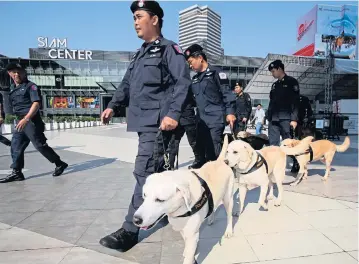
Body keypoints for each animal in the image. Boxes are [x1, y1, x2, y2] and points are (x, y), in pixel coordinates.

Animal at [134, 135, 235, 264]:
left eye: (160, 200)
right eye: (144, 196)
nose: (136, 220)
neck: (181, 207)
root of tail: (220, 161)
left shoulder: (192, 234)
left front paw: (190, 256)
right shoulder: (184, 229)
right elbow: (187, 246)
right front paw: (188, 252)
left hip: (228, 199)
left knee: (229, 216)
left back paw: (228, 231)